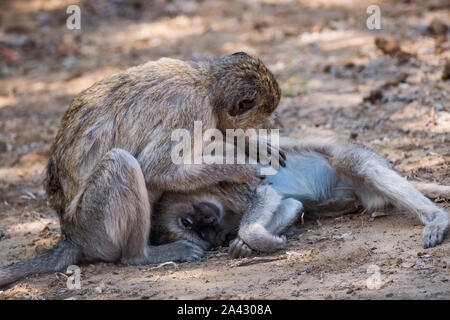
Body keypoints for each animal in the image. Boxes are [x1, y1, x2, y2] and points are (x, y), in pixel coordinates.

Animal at [154, 137, 450, 258]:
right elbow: (290, 204)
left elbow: (264, 194)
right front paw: (243, 245)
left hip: (359, 160)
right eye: (196, 232)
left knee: (355, 162)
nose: (207, 227)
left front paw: (248, 240)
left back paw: (438, 218)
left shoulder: (224, 182)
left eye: (187, 222)